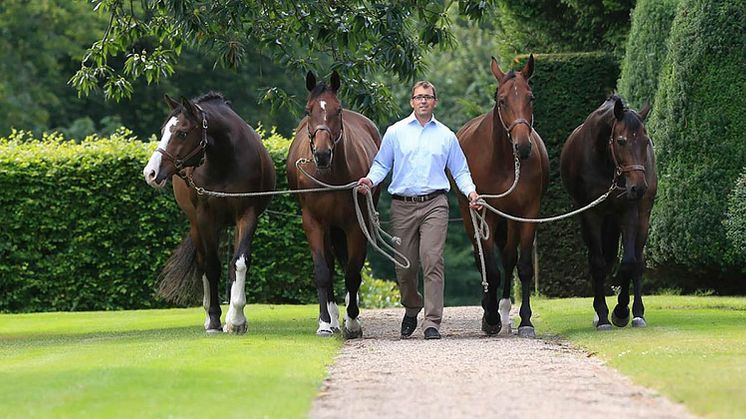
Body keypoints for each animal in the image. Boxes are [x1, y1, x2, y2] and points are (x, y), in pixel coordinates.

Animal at [142, 92, 276, 334]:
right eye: (163, 130)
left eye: (182, 132)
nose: (151, 172)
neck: (225, 161)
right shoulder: (205, 218)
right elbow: (211, 266)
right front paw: (214, 319)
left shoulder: (247, 215)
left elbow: (239, 261)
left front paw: (236, 319)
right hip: (196, 224)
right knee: (203, 260)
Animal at [284, 70, 378, 340]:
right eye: (308, 110)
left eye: (337, 110)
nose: (322, 154)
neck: (330, 176)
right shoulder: (313, 223)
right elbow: (322, 271)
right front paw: (325, 323)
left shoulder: (355, 225)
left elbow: (353, 273)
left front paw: (353, 322)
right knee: (330, 262)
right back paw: (334, 318)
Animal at [454, 55, 548, 338]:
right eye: (502, 100)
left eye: (531, 97)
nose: (523, 146)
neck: (506, 162)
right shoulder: (486, 213)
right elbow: (491, 270)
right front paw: (491, 318)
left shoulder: (527, 212)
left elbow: (523, 266)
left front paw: (525, 321)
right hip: (470, 216)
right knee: (482, 260)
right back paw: (491, 310)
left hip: (511, 219)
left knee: (508, 259)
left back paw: (505, 311)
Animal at [560, 95, 652, 332]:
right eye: (621, 141)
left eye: (645, 141)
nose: (639, 188)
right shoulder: (591, 214)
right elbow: (599, 263)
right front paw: (602, 315)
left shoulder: (628, 211)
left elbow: (629, 261)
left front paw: (621, 310)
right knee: (602, 258)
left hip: (640, 217)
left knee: (636, 259)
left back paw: (636, 312)